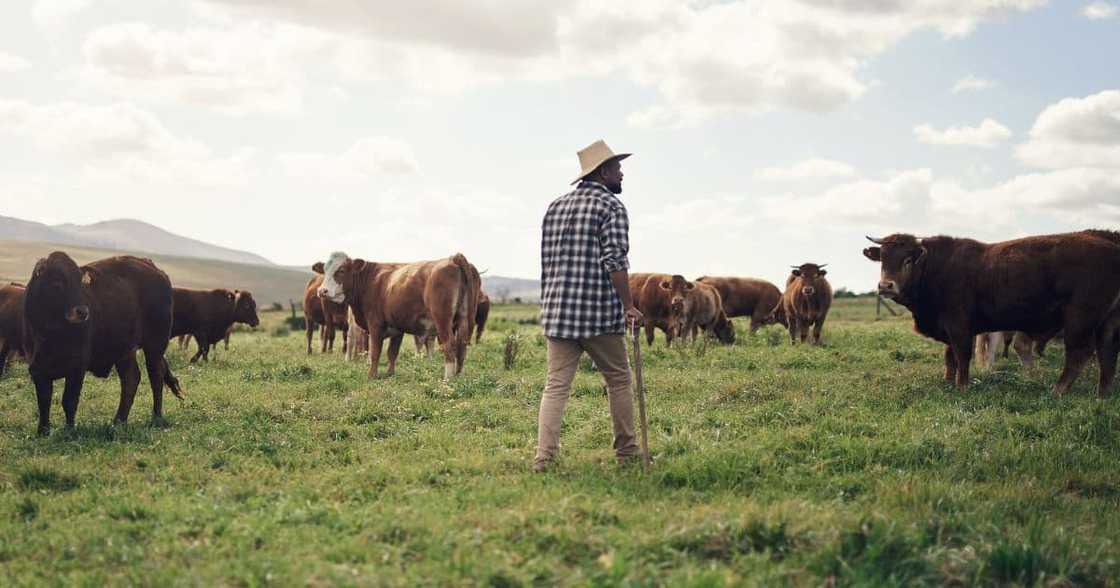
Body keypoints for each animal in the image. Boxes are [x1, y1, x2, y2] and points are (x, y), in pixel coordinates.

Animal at [23, 253, 183, 435]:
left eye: (80, 282)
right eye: (57, 282)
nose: (82, 311)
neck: (50, 333)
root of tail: (155, 269)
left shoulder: (77, 367)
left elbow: (69, 401)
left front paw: (69, 429)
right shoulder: (37, 369)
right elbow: (44, 401)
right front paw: (42, 431)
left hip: (154, 346)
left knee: (156, 378)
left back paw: (156, 416)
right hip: (125, 350)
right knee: (131, 379)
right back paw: (119, 421)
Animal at [315, 252, 481, 379]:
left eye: (341, 270)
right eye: (324, 270)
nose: (322, 291)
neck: (369, 281)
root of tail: (453, 258)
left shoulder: (375, 324)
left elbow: (375, 352)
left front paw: (371, 375)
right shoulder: (397, 328)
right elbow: (392, 352)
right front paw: (390, 373)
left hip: (442, 319)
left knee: (449, 344)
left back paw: (448, 379)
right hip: (464, 318)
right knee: (461, 345)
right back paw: (458, 376)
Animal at [863, 230, 1120, 396]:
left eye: (908, 260)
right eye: (882, 259)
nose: (885, 286)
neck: (936, 268)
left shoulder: (960, 327)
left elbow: (962, 356)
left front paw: (962, 386)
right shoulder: (949, 328)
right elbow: (949, 358)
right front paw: (948, 382)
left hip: (1080, 318)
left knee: (1080, 353)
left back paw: (1058, 391)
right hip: (1108, 322)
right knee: (1107, 353)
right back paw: (1102, 394)